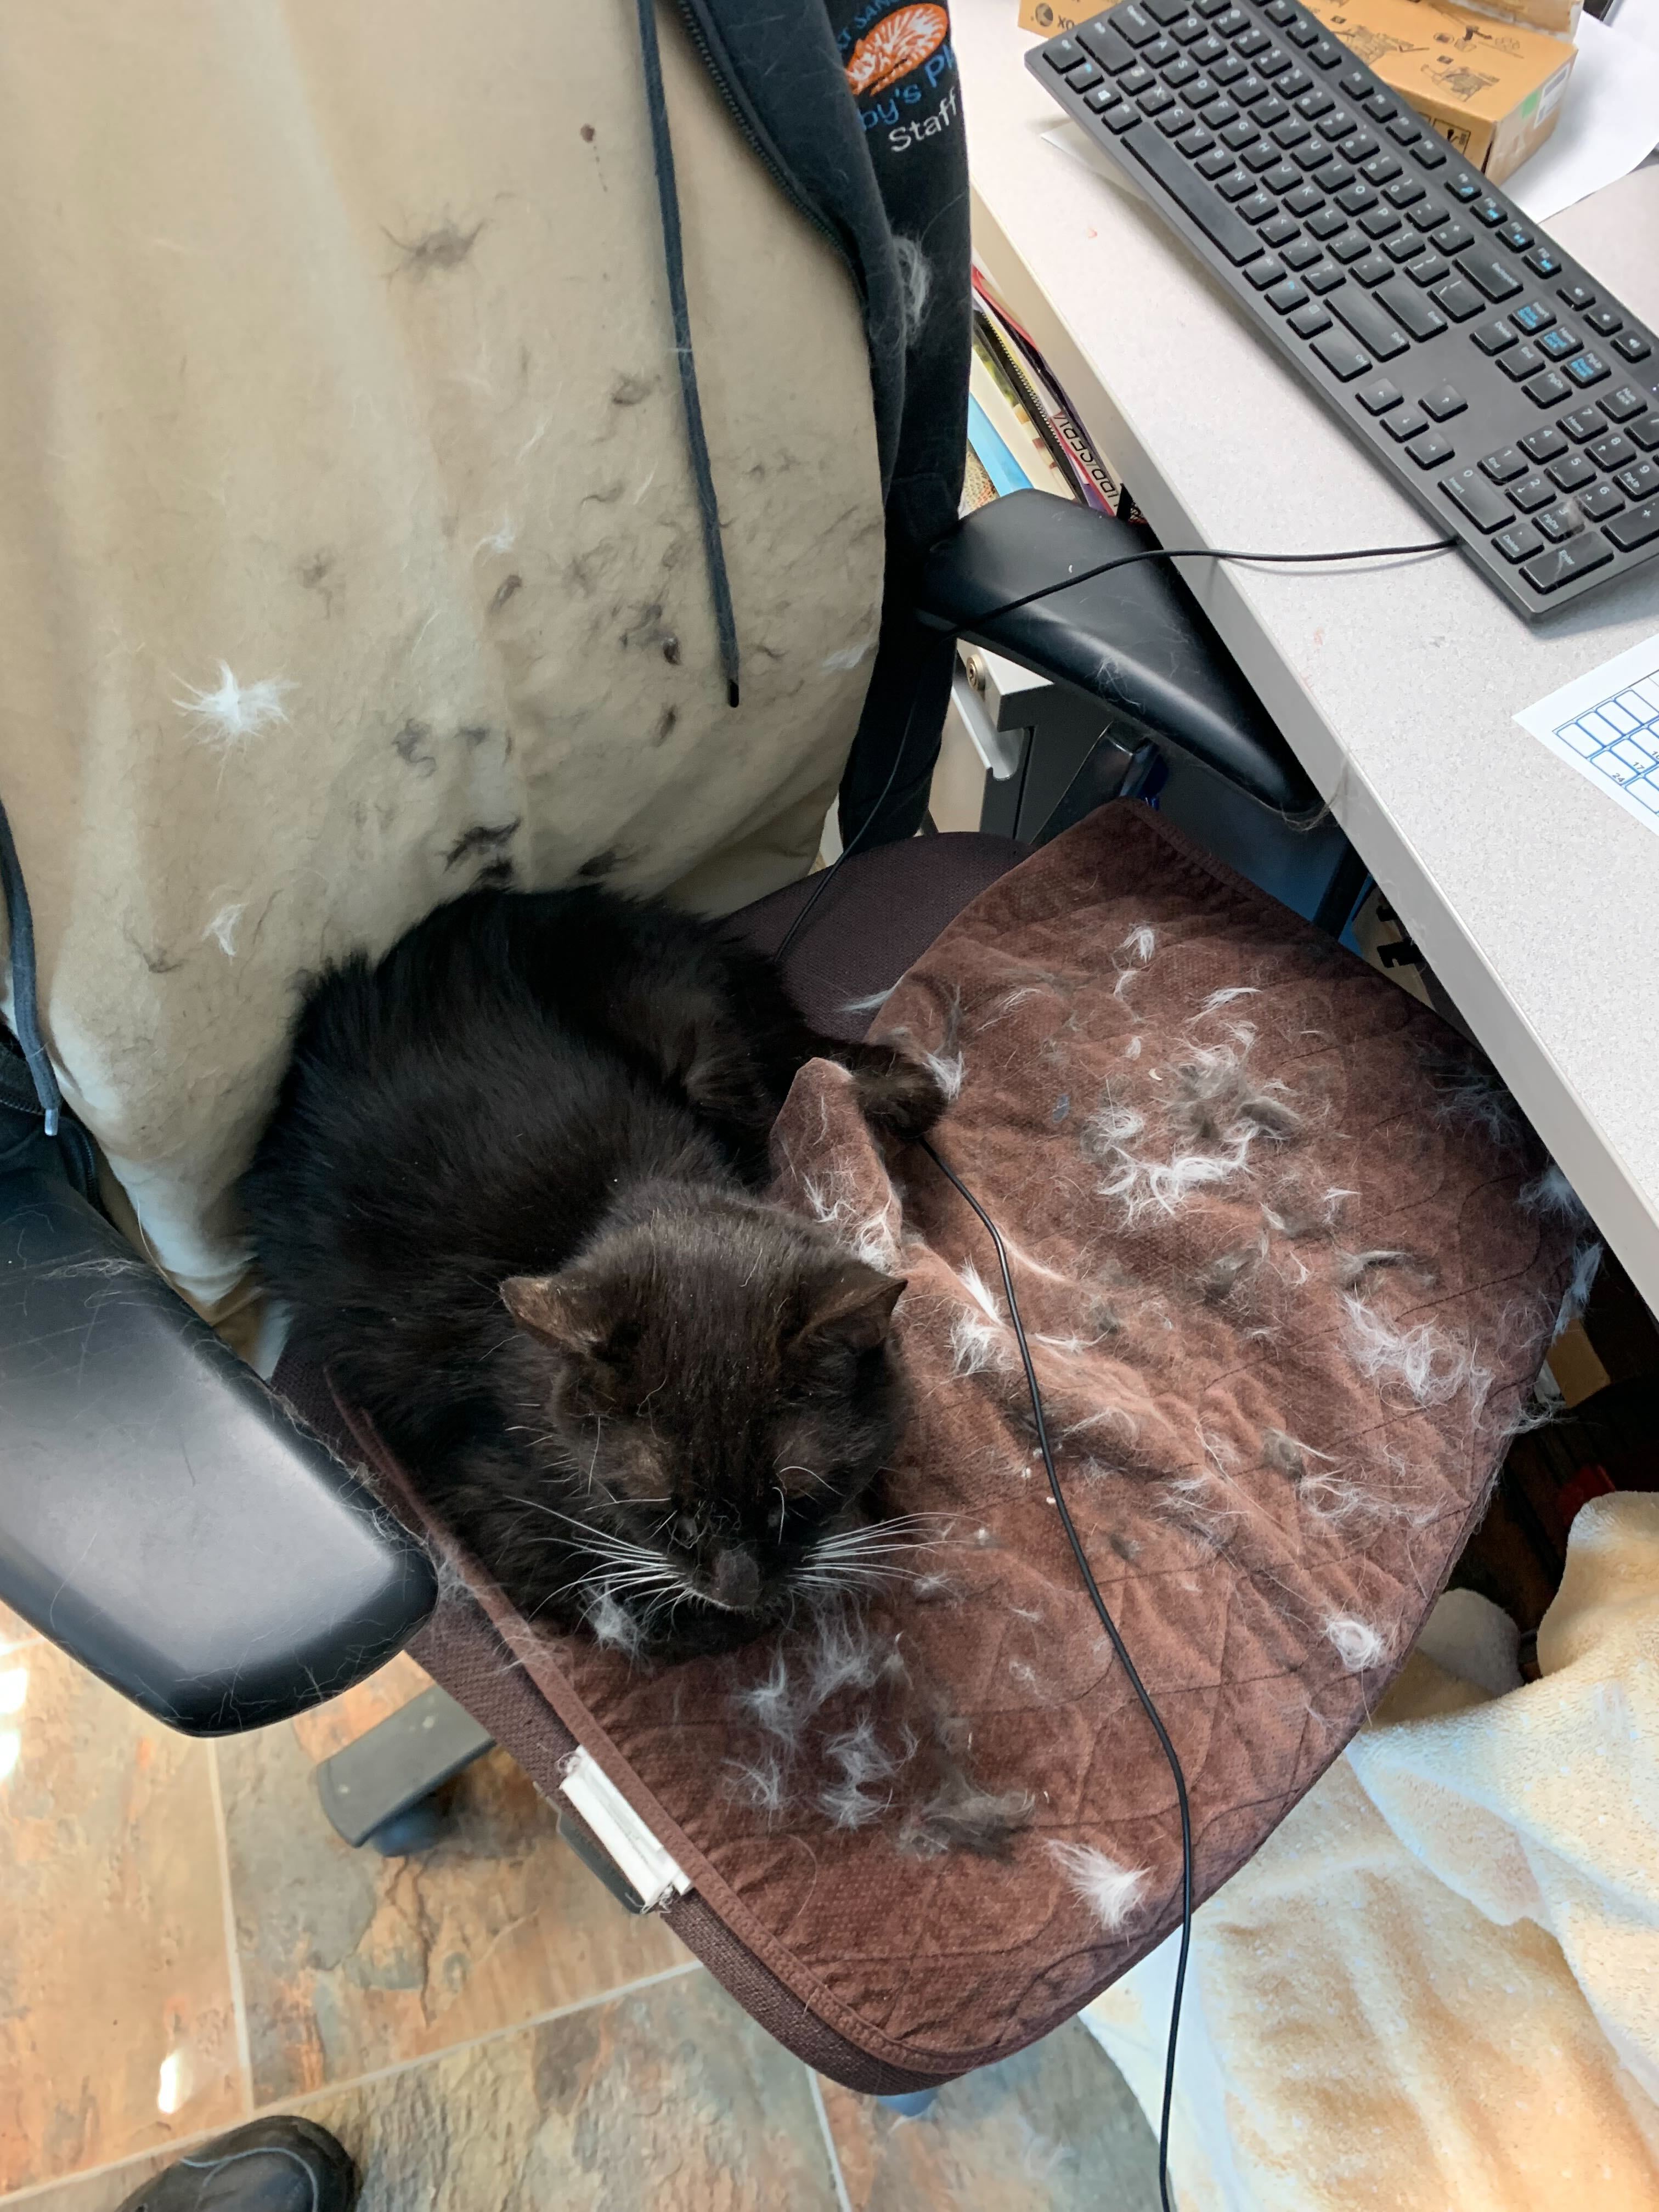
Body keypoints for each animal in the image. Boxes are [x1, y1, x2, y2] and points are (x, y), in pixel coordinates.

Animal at [241, 883, 946, 1659]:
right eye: (668, 1512)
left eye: (788, 1501)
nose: (738, 1586)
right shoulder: (503, 1521)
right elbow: (669, 1618)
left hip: (708, 1048)